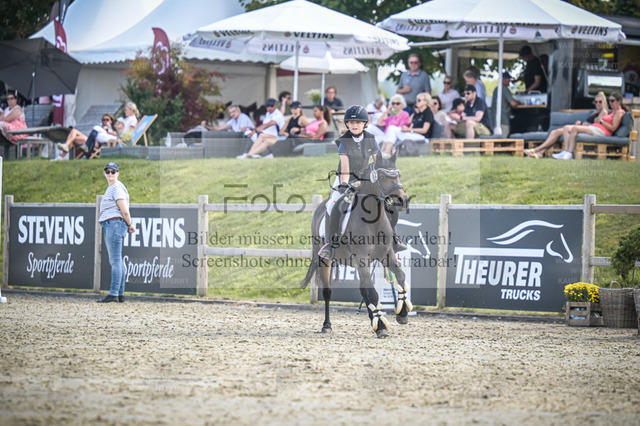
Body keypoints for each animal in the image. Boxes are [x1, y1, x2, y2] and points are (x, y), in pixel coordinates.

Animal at [300, 152, 412, 338]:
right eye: (382, 177)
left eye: (399, 175)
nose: (403, 200)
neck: (373, 219)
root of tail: (320, 207)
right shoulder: (361, 259)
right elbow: (372, 291)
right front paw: (381, 327)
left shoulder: (386, 255)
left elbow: (401, 277)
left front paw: (401, 314)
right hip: (325, 261)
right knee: (328, 292)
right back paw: (327, 325)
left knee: (363, 289)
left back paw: (374, 318)